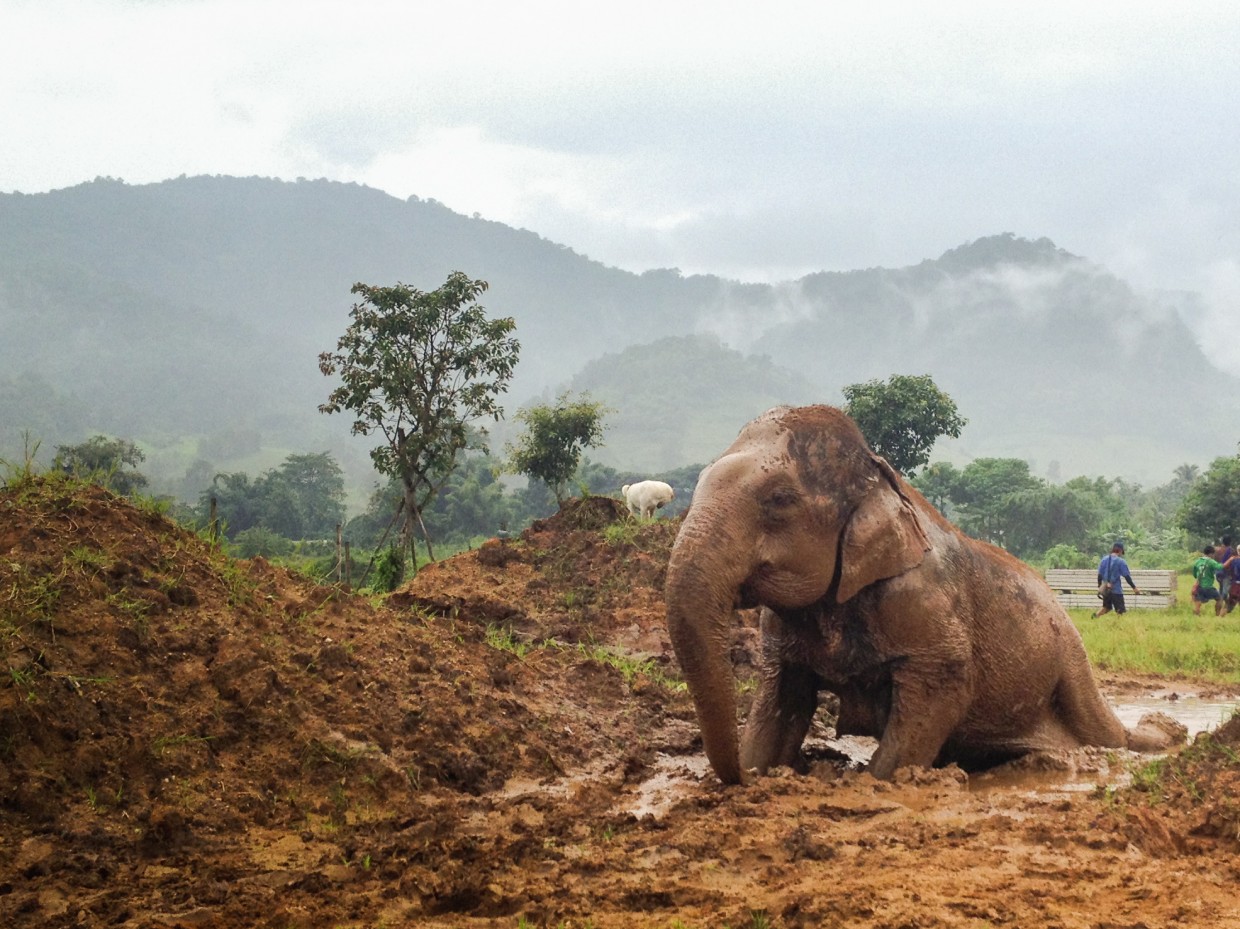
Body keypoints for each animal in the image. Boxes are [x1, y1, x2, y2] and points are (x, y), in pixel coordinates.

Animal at [664, 406, 1175, 783]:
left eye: (779, 499)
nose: (741, 781)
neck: (878, 474)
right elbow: (781, 698)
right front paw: (759, 769)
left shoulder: (922, 602)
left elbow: (941, 689)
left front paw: (873, 782)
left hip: (1070, 664)